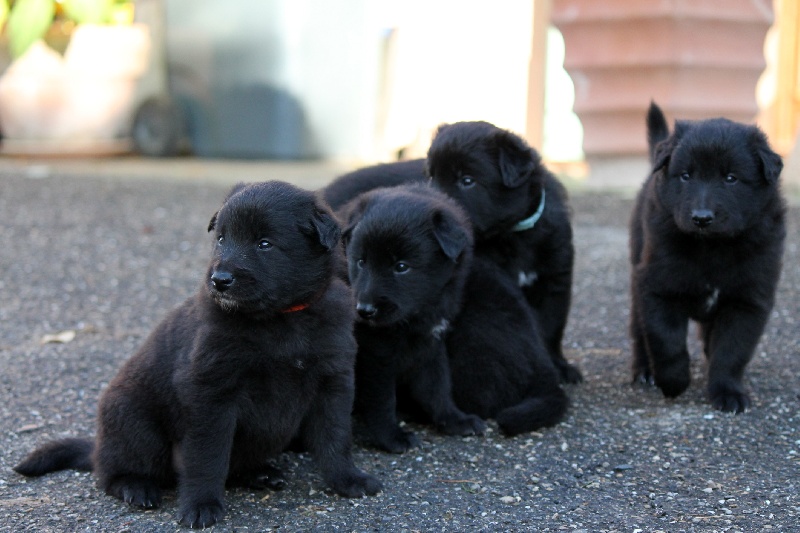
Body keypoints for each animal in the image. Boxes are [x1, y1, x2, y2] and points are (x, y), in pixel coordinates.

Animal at [14, 182, 382, 528]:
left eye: (264, 244)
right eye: (221, 239)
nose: (220, 279)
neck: (280, 318)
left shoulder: (333, 382)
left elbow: (336, 438)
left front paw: (348, 480)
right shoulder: (211, 394)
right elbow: (208, 457)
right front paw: (201, 505)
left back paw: (259, 473)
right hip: (134, 423)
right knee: (111, 473)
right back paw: (137, 487)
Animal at [340, 185, 484, 450]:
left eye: (401, 267)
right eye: (361, 261)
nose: (364, 310)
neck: (417, 314)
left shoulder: (430, 343)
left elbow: (438, 385)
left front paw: (454, 419)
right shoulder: (376, 355)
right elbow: (382, 399)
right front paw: (391, 437)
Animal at [424, 121, 580, 382]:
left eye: (467, 180)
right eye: (431, 176)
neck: (515, 233)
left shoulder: (555, 281)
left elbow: (551, 329)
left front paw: (560, 366)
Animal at [628, 103, 784, 412]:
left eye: (731, 178)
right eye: (686, 176)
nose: (701, 218)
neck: (712, 247)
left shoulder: (747, 301)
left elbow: (731, 351)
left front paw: (728, 392)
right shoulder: (657, 286)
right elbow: (666, 340)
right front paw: (673, 382)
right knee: (639, 329)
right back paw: (645, 371)